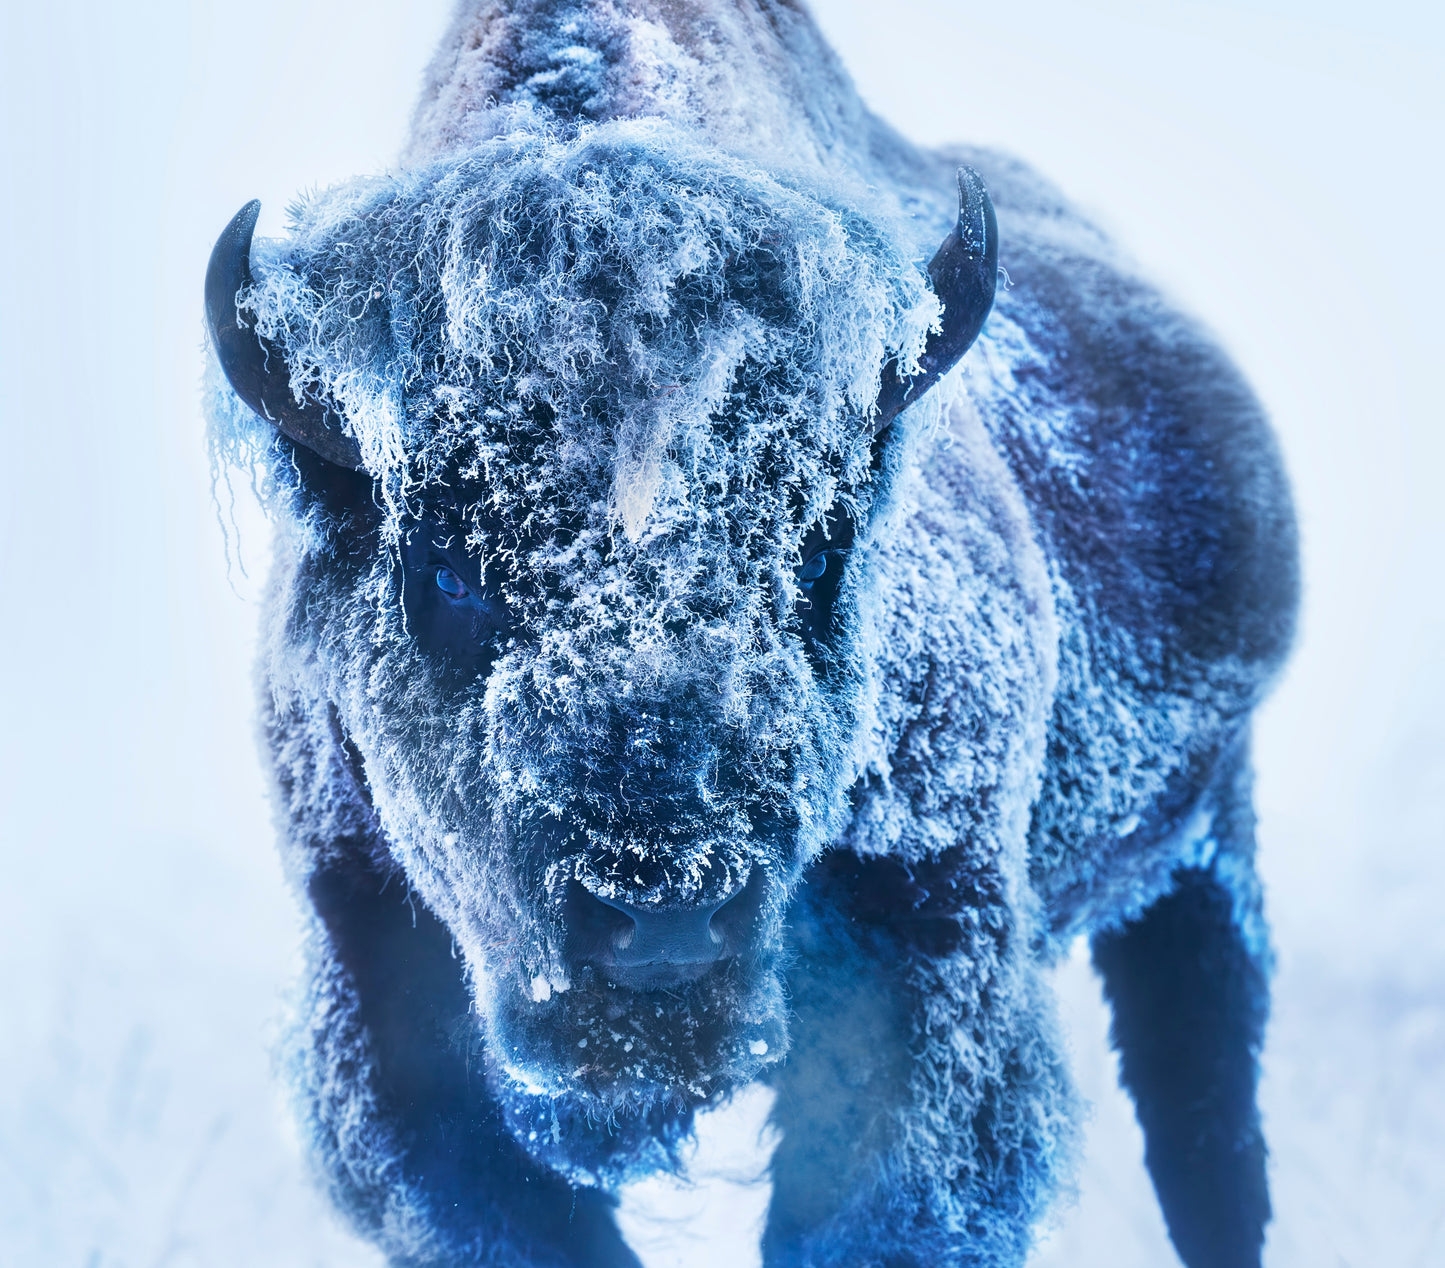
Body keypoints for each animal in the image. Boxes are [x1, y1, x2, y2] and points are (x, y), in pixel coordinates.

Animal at [203, 4, 1300, 1265]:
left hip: (1202, 855)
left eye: (818, 544)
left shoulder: (934, 967)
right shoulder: (383, 996)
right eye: (443, 564)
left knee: (1204, 1120)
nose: (660, 915)